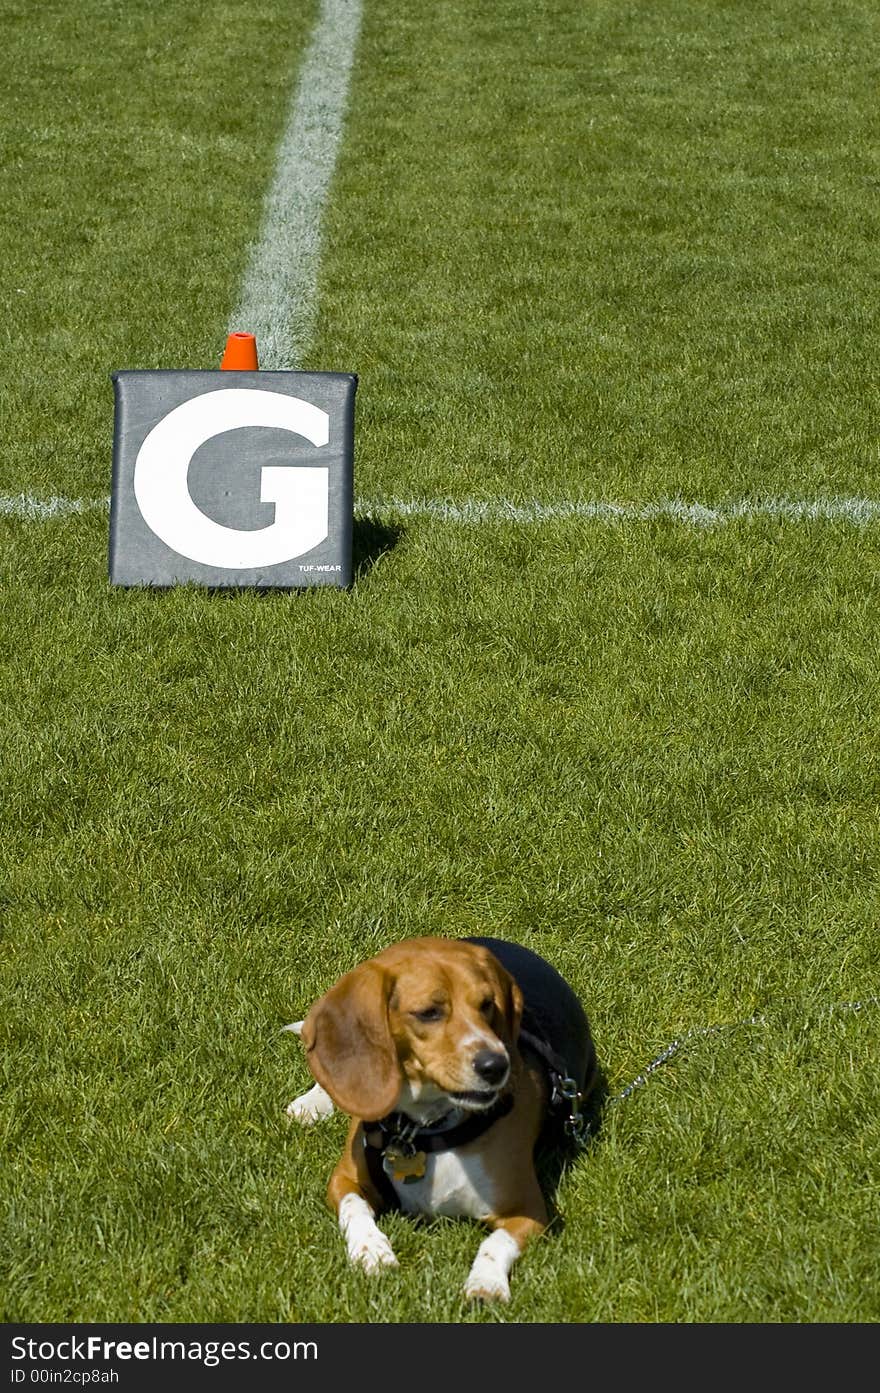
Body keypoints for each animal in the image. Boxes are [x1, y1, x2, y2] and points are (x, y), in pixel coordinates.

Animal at [285, 936, 595, 1303]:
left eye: (487, 1005)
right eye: (429, 1013)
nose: (497, 1065)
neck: (421, 1130)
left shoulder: (527, 1208)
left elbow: (495, 1242)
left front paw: (486, 1284)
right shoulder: (344, 1179)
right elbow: (354, 1210)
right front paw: (371, 1250)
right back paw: (311, 1103)